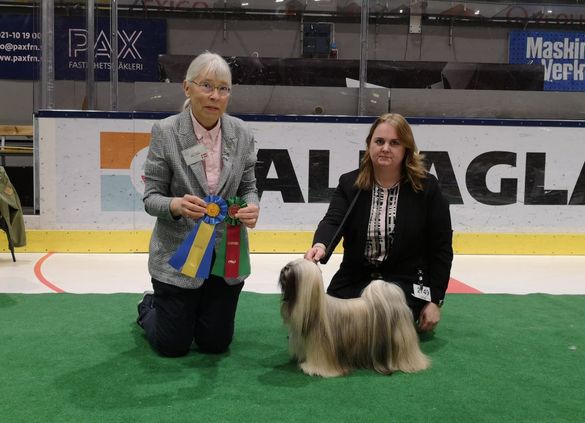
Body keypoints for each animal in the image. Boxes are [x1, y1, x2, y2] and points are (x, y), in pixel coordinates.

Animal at [278, 260, 428, 380]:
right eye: (289, 264)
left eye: (292, 268)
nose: (284, 268)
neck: (314, 309)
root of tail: (396, 303)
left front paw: (311, 369)